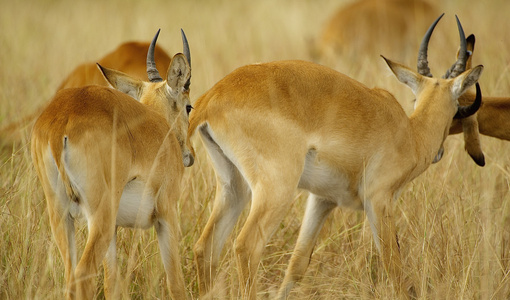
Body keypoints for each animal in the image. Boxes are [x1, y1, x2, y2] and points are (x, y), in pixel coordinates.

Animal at [30, 29, 193, 298]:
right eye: (189, 106)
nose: (189, 154)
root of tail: (61, 121)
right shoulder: (166, 213)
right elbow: (176, 283)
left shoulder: (115, 229)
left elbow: (112, 284)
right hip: (100, 218)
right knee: (83, 275)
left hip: (62, 216)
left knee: (70, 276)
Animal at [187, 15, 482, 298]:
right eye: (457, 105)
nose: (440, 152)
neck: (409, 134)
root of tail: (211, 99)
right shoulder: (378, 200)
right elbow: (393, 265)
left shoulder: (322, 200)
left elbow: (298, 264)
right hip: (276, 191)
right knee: (246, 247)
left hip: (233, 187)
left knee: (205, 248)